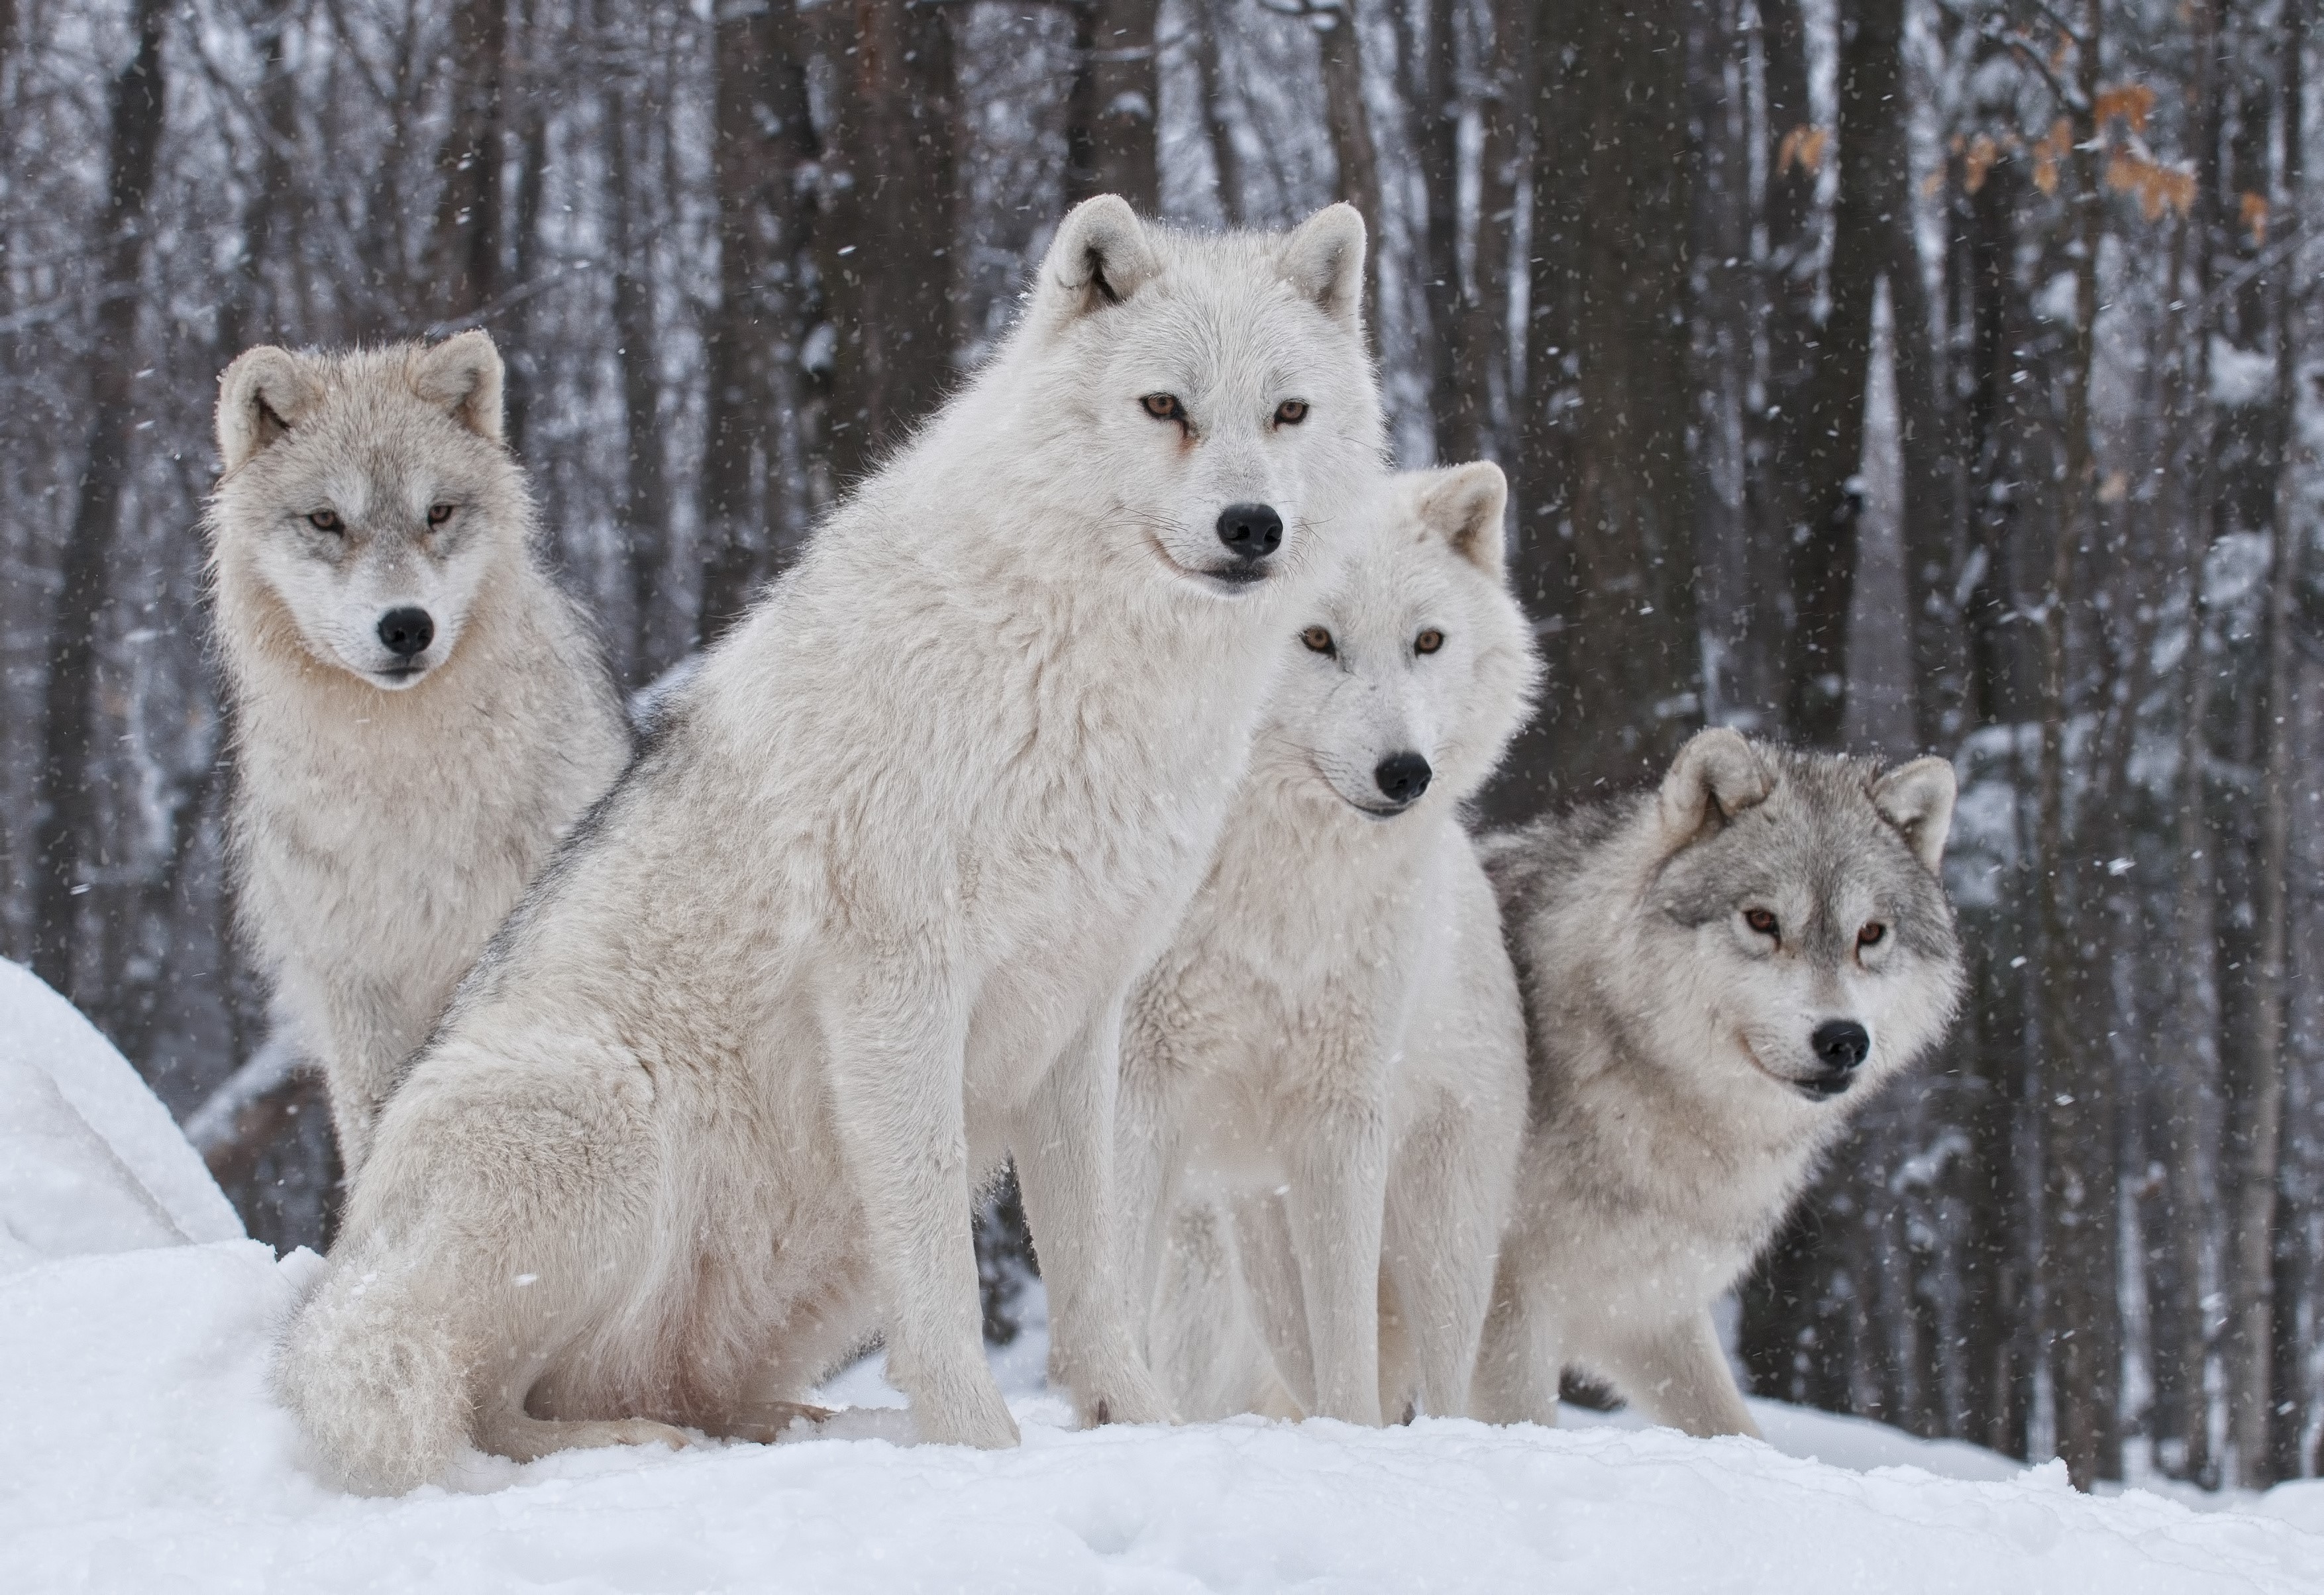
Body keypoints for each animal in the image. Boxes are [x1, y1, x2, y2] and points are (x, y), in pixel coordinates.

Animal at [275, 197, 1388, 1492]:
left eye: (1287, 412)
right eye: (1165, 406)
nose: (1251, 525)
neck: (1080, 668)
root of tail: (341, 1278)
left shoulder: (1081, 1009)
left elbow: (1095, 1268)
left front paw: (1140, 1426)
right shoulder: (897, 985)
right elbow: (943, 1272)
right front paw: (979, 1448)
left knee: (679, 1391)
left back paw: (801, 1428)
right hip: (607, 1115)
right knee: (479, 1401)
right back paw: (634, 1443)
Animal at [1120, 462, 1539, 1427]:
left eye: (1428, 641)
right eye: (1313, 638)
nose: (1406, 774)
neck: (1275, 886)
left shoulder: (1342, 1117)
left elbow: (1349, 1349)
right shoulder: (1137, 1088)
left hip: (1440, 1241)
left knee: (1441, 1386)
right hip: (1253, 1258)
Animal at [1469, 729, 1963, 1438]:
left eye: (1870, 934)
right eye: (1761, 921)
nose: (1843, 1040)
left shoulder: (1647, 1310)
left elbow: (1734, 1429)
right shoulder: (1505, 1307)